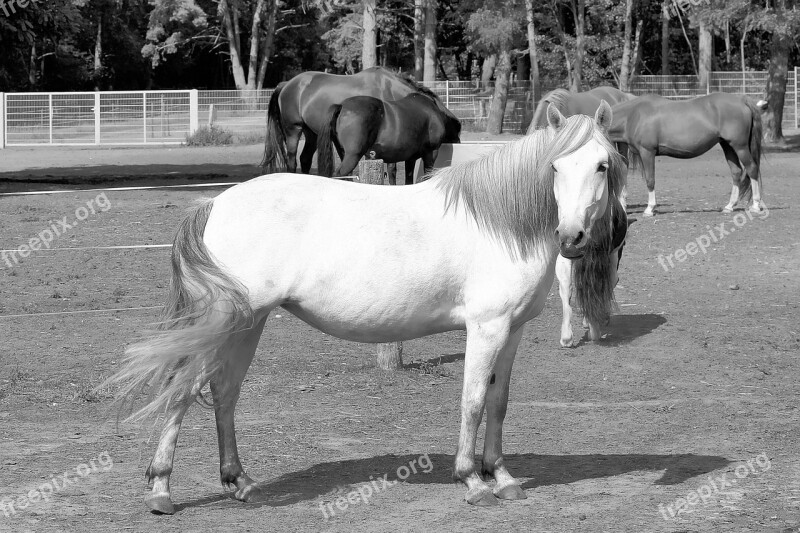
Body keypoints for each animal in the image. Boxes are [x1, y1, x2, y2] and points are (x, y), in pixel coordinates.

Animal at [101, 101, 624, 512]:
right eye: (555, 168)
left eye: (601, 165)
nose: (572, 237)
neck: (500, 222)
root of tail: (215, 205)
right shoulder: (486, 329)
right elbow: (473, 401)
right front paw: (473, 481)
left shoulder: (511, 331)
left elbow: (499, 402)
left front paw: (504, 478)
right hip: (223, 322)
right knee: (183, 389)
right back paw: (161, 491)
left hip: (248, 324)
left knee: (224, 392)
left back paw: (241, 482)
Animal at [260, 65, 424, 175]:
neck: (387, 90)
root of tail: (286, 84)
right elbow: (391, 169)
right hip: (294, 130)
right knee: (292, 161)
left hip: (311, 133)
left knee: (305, 159)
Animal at [314, 85, 460, 183]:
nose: (458, 141)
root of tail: (342, 106)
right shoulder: (430, 153)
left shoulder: (410, 159)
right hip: (352, 156)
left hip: (344, 154)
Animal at [608, 93, 764, 216]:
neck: (633, 115)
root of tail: (741, 100)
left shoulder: (647, 152)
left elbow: (650, 180)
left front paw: (649, 209)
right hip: (727, 145)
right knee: (736, 172)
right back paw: (729, 206)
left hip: (740, 146)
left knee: (751, 168)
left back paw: (756, 206)